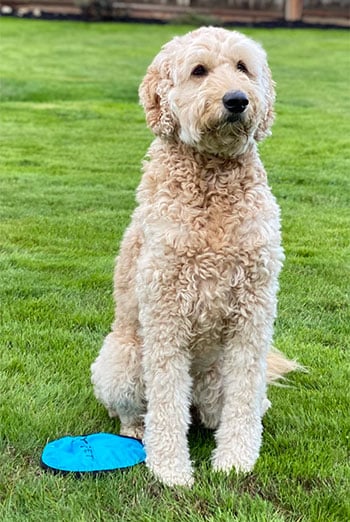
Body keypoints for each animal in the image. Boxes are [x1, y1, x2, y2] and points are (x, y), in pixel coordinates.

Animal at [91, 27, 298, 484]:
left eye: (242, 67)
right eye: (199, 70)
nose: (237, 99)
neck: (212, 177)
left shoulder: (253, 310)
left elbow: (243, 396)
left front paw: (235, 460)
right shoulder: (166, 309)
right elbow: (166, 398)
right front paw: (170, 469)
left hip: (218, 379)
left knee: (237, 405)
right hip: (122, 360)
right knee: (136, 411)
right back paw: (137, 432)